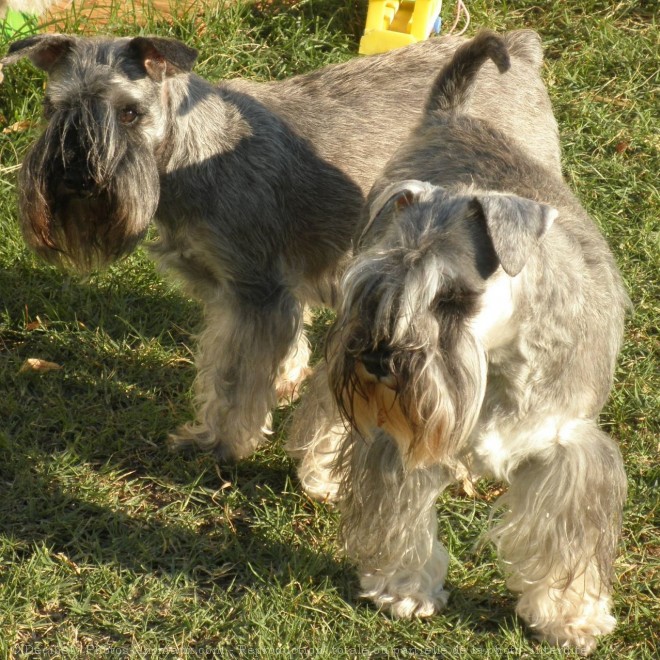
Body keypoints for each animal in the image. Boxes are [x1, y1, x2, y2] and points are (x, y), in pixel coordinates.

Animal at [5, 29, 560, 464]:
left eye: (129, 112)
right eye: (53, 107)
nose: (76, 176)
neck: (190, 153)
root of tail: (523, 49)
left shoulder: (256, 294)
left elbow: (235, 380)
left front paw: (220, 443)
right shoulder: (239, 293)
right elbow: (235, 363)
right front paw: (287, 378)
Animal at [290, 31, 628, 656]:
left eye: (451, 297)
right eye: (373, 286)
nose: (376, 360)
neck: (498, 365)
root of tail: (450, 115)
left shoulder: (570, 450)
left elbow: (565, 544)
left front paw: (569, 617)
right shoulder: (400, 440)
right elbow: (403, 519)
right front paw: (404, 588)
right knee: (327, 396)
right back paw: (322, 468)